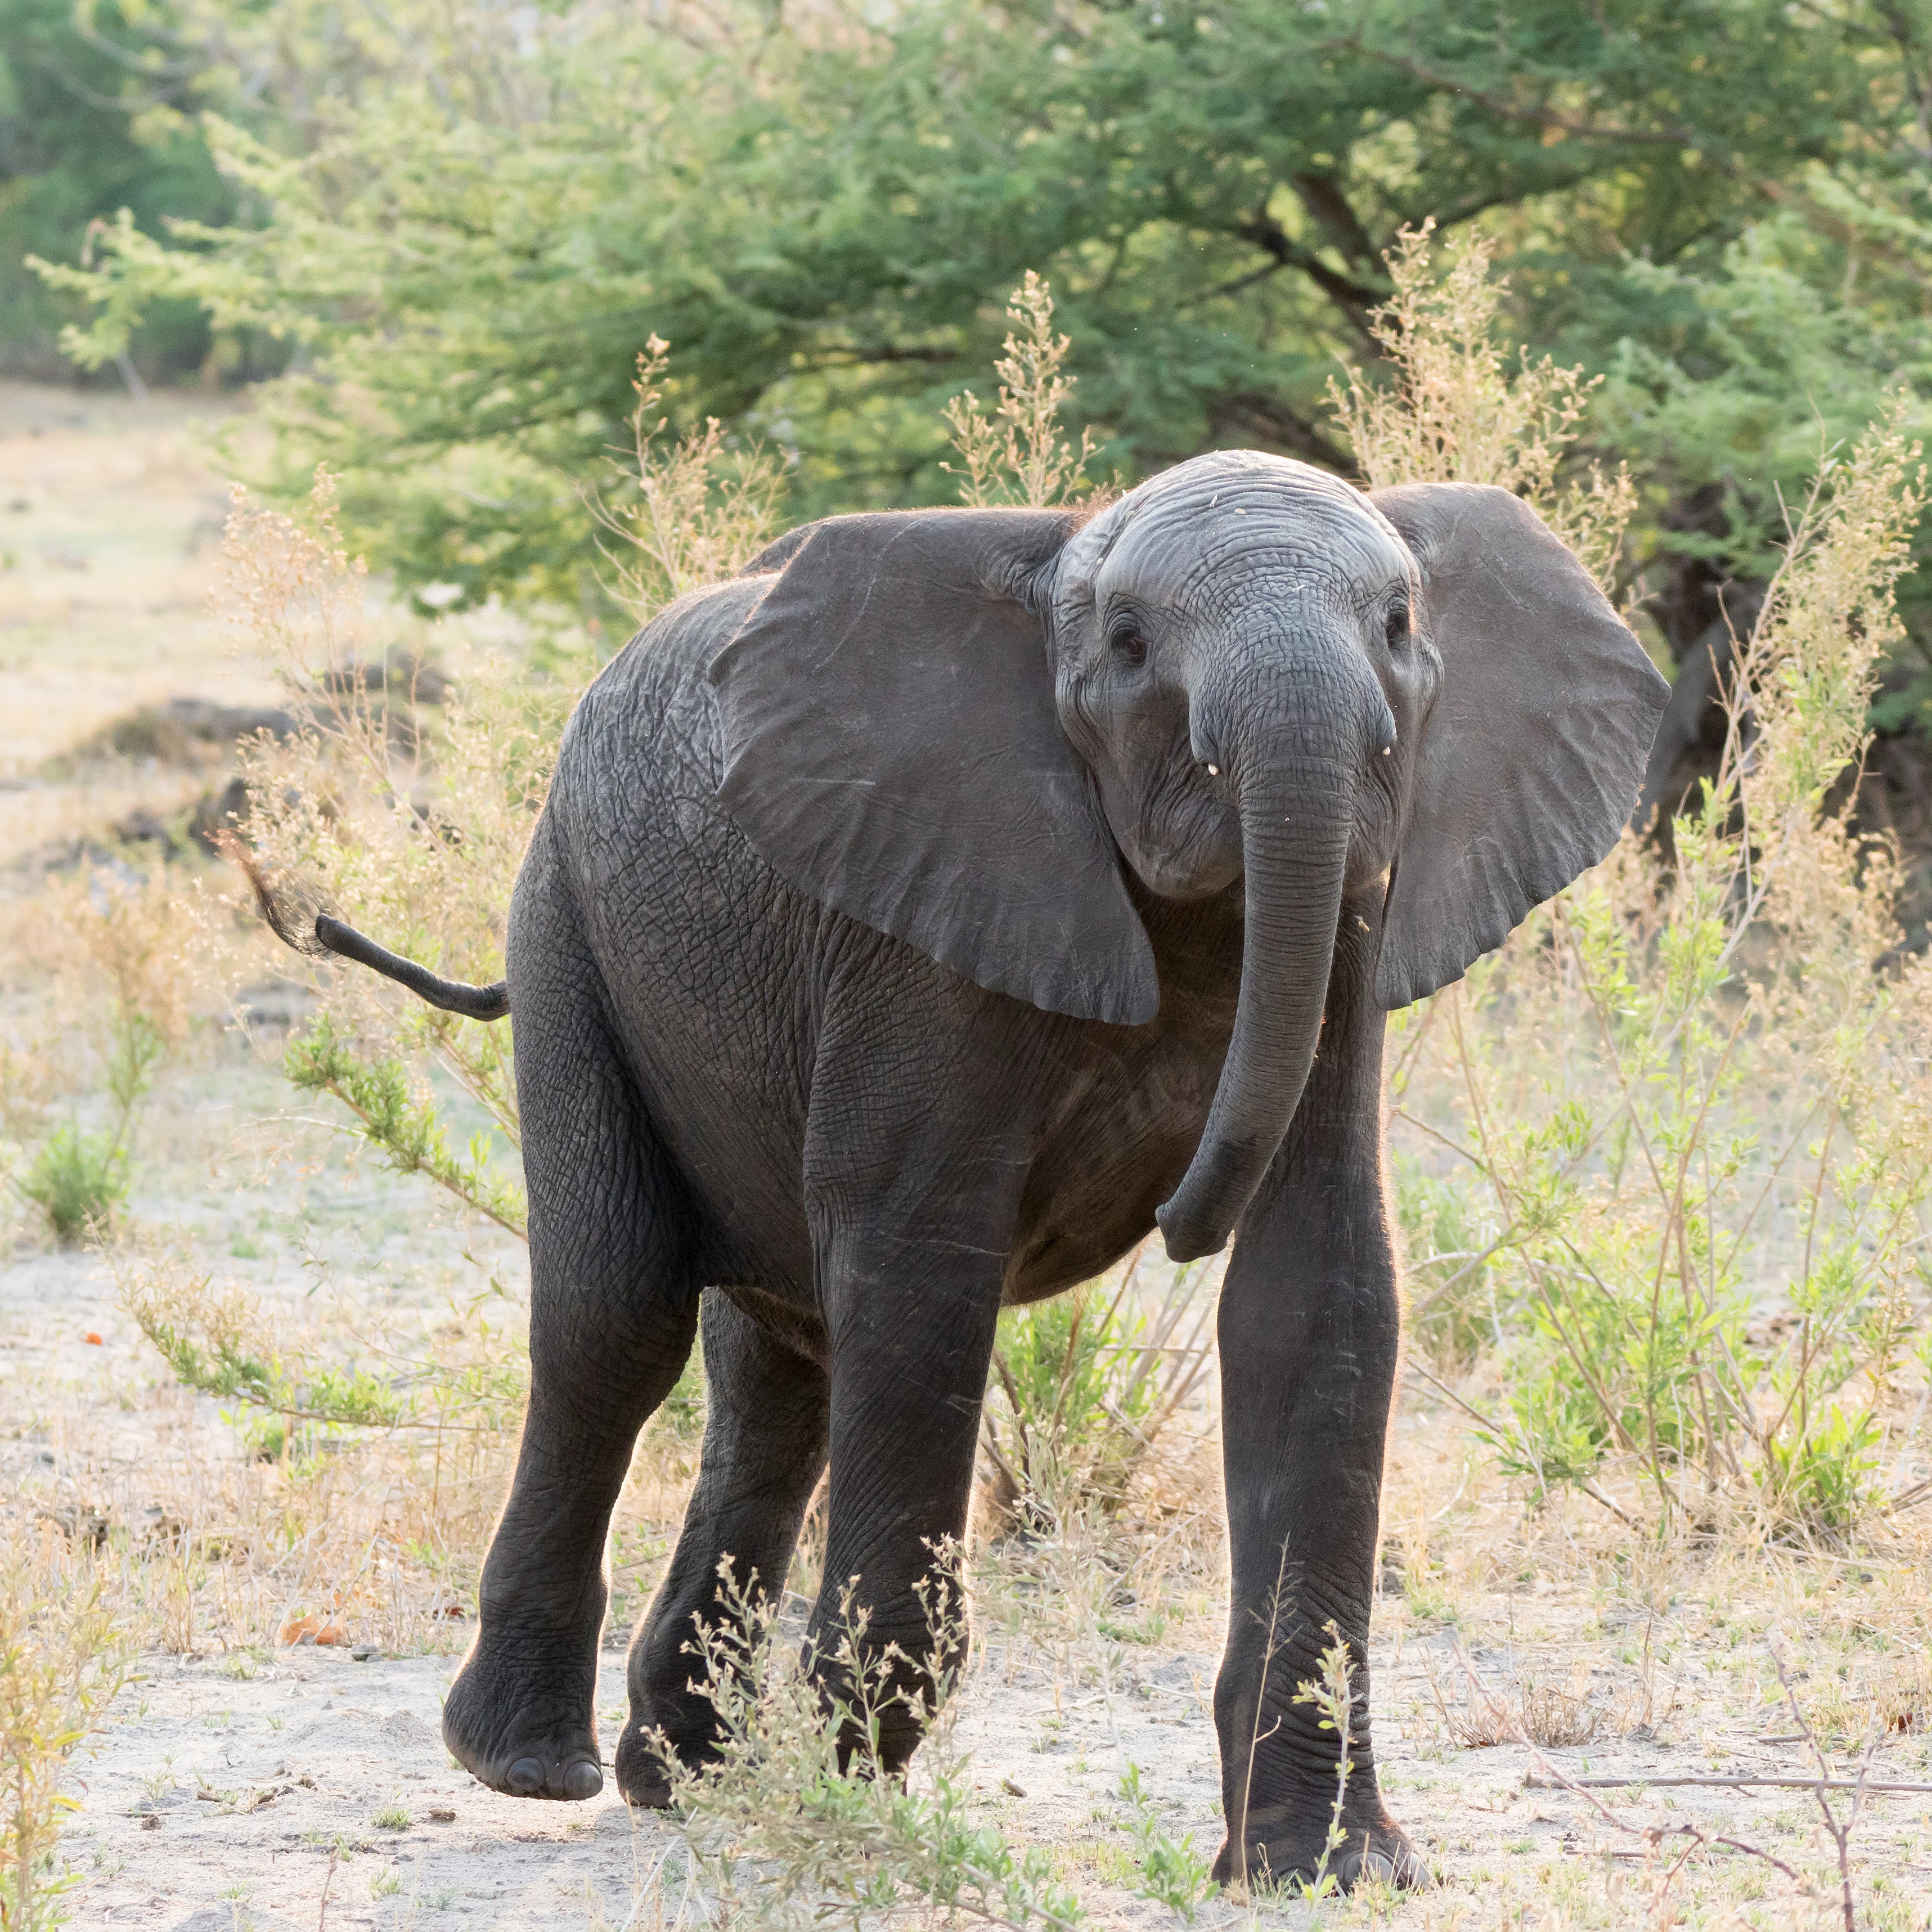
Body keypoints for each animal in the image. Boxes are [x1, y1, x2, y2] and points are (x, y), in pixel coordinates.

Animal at [248, 449, 1667, 1889]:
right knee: (617, 1321)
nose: (1178, 1213)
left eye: (1397, 626)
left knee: (776, 1375)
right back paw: (535, 1767)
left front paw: (1322, 1865)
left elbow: (1314, 1293)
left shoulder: (1352, 926)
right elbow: (923, 1270)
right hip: (563, 925)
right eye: (1128, 642)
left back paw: (682, 1779)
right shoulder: (915, 927)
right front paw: (848, 1811)